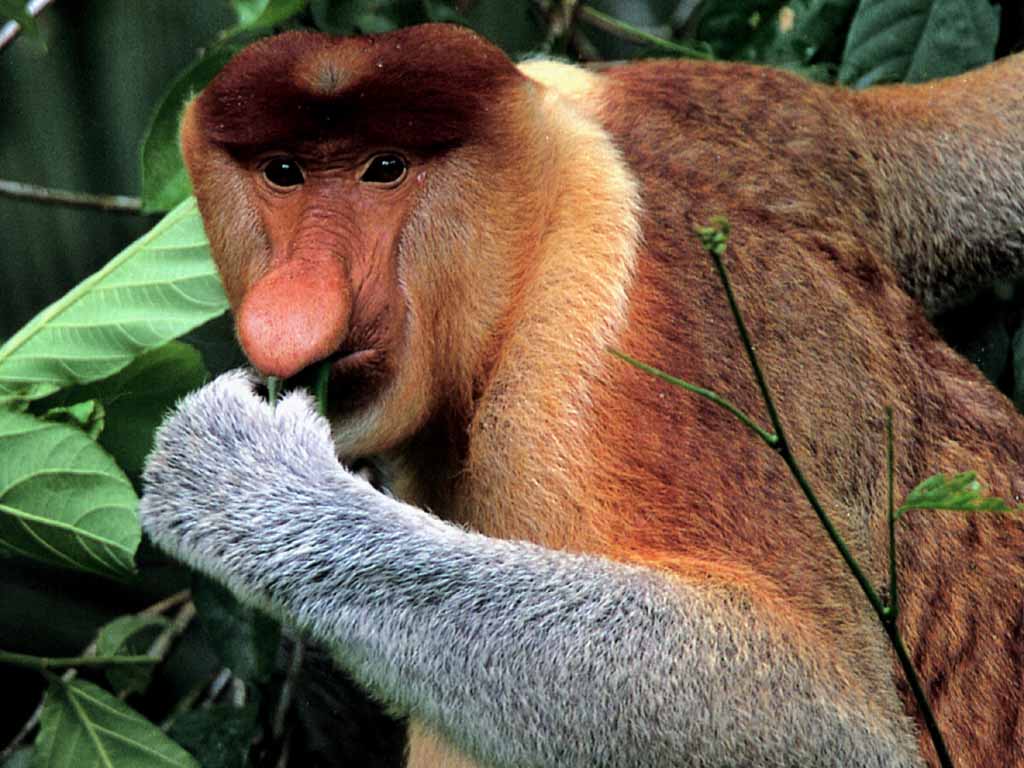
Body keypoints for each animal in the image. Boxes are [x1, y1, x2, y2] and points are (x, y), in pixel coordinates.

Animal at [140, 24, 1024, 768]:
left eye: (384, 168)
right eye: (283, 172)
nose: (292, 306)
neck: (544, 208)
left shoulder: (567, 385)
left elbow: (827, 719)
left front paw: (241, 483)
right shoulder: (731, 103)